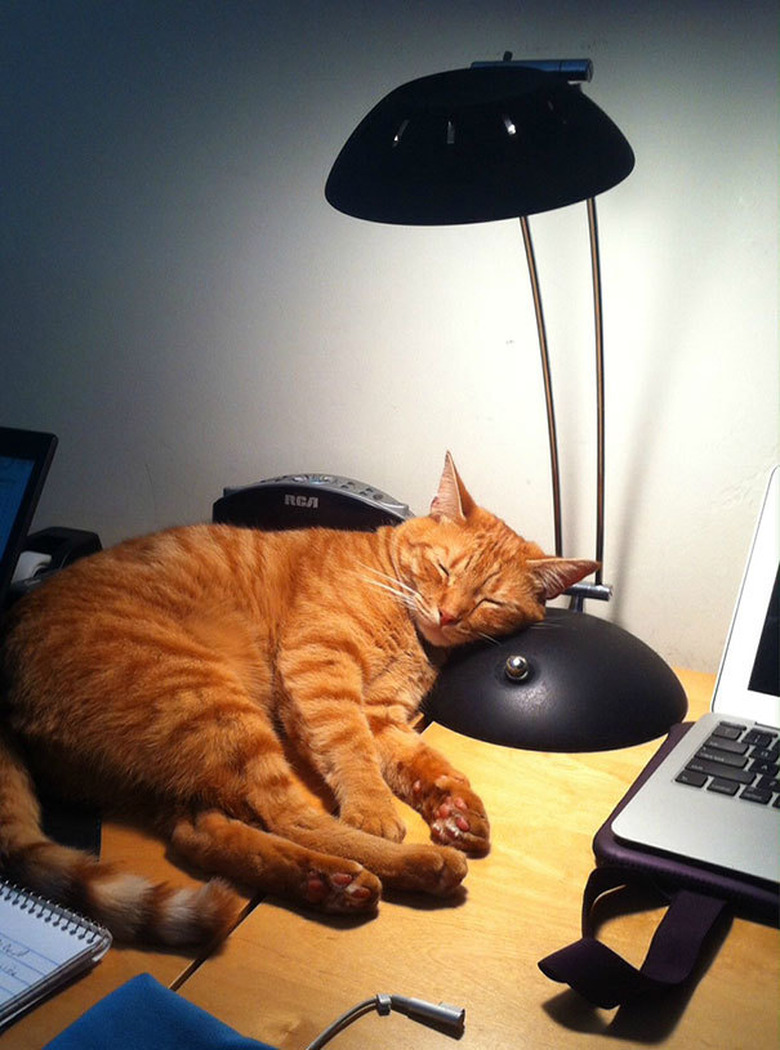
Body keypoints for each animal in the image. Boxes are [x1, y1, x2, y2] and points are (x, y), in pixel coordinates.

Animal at [0, 455, 596, 949]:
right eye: (444, 569)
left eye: (489, 600)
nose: (448, 615)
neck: (410, 628)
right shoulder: (321, 670)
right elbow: (353, 757)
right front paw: (376, 811)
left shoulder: (383, 715)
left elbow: (426, 761)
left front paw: (455, 807)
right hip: (213, 703)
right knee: (292, 817)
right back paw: (412, 864)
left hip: (175, 760)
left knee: (199, 836)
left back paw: (324, 881)